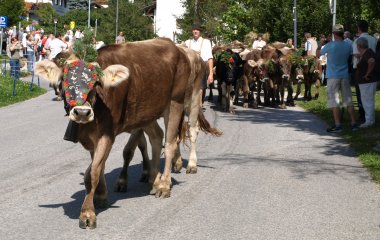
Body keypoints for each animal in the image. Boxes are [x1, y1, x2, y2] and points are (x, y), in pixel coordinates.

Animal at [36, 37, 221, 229]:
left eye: (95, 83)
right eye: (64, 81)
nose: (81, 112)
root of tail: (179, 48)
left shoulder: (108, 133)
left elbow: (93, 172)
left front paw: (87, 213)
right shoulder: (94, 137)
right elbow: (99, 166)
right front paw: (101, 195)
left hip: (182, 101)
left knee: (178, 138)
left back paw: (169, 180)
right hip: (149, 111)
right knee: (157, 137)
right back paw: (154, 179)